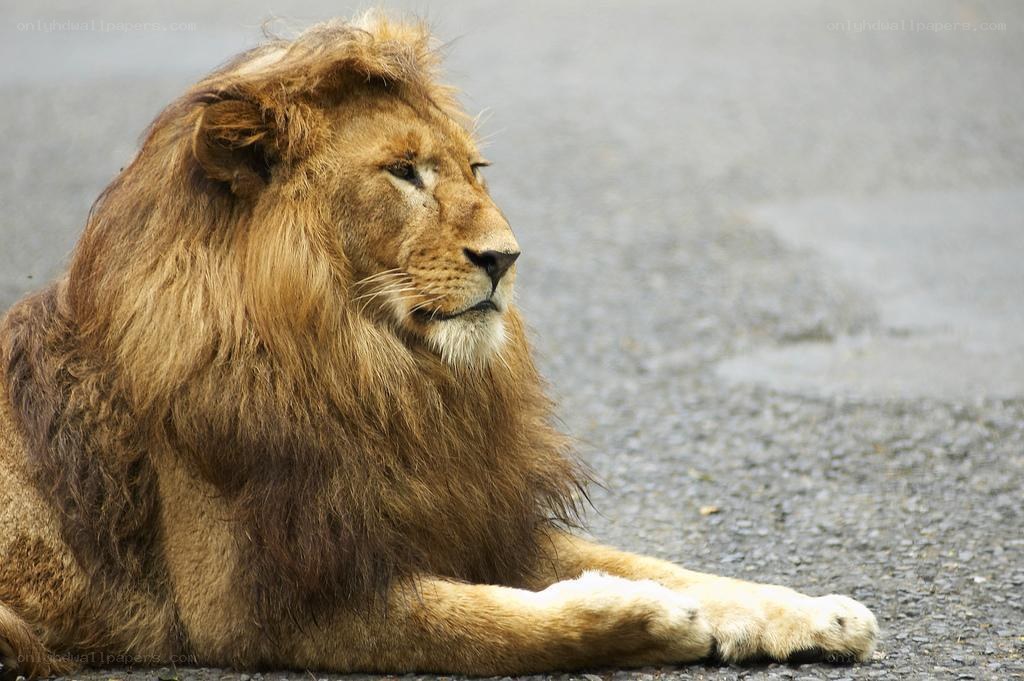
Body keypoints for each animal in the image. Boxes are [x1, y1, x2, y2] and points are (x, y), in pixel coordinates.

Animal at [0, 15, 878, 678]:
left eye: (474, 167)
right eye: (403, 172)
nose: (505, 257)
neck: (373, 370)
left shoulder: (464, 511)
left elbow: (667, 565)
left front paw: (817, 613)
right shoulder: (248, 607)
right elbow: (478, 625)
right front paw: (648, 620)